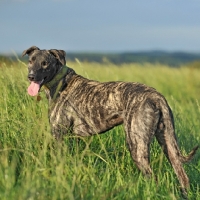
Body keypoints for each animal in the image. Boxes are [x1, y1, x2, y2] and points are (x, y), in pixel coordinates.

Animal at [22, 46, 198, 196]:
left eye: (45, 63)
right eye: (31, 61)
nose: (31, 76)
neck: (60, 81)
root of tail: (157, 97)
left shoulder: (58, 134)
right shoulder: (75, 138)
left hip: (136, 145)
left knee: (151, 177)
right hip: (168, 143)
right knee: (183, 176)